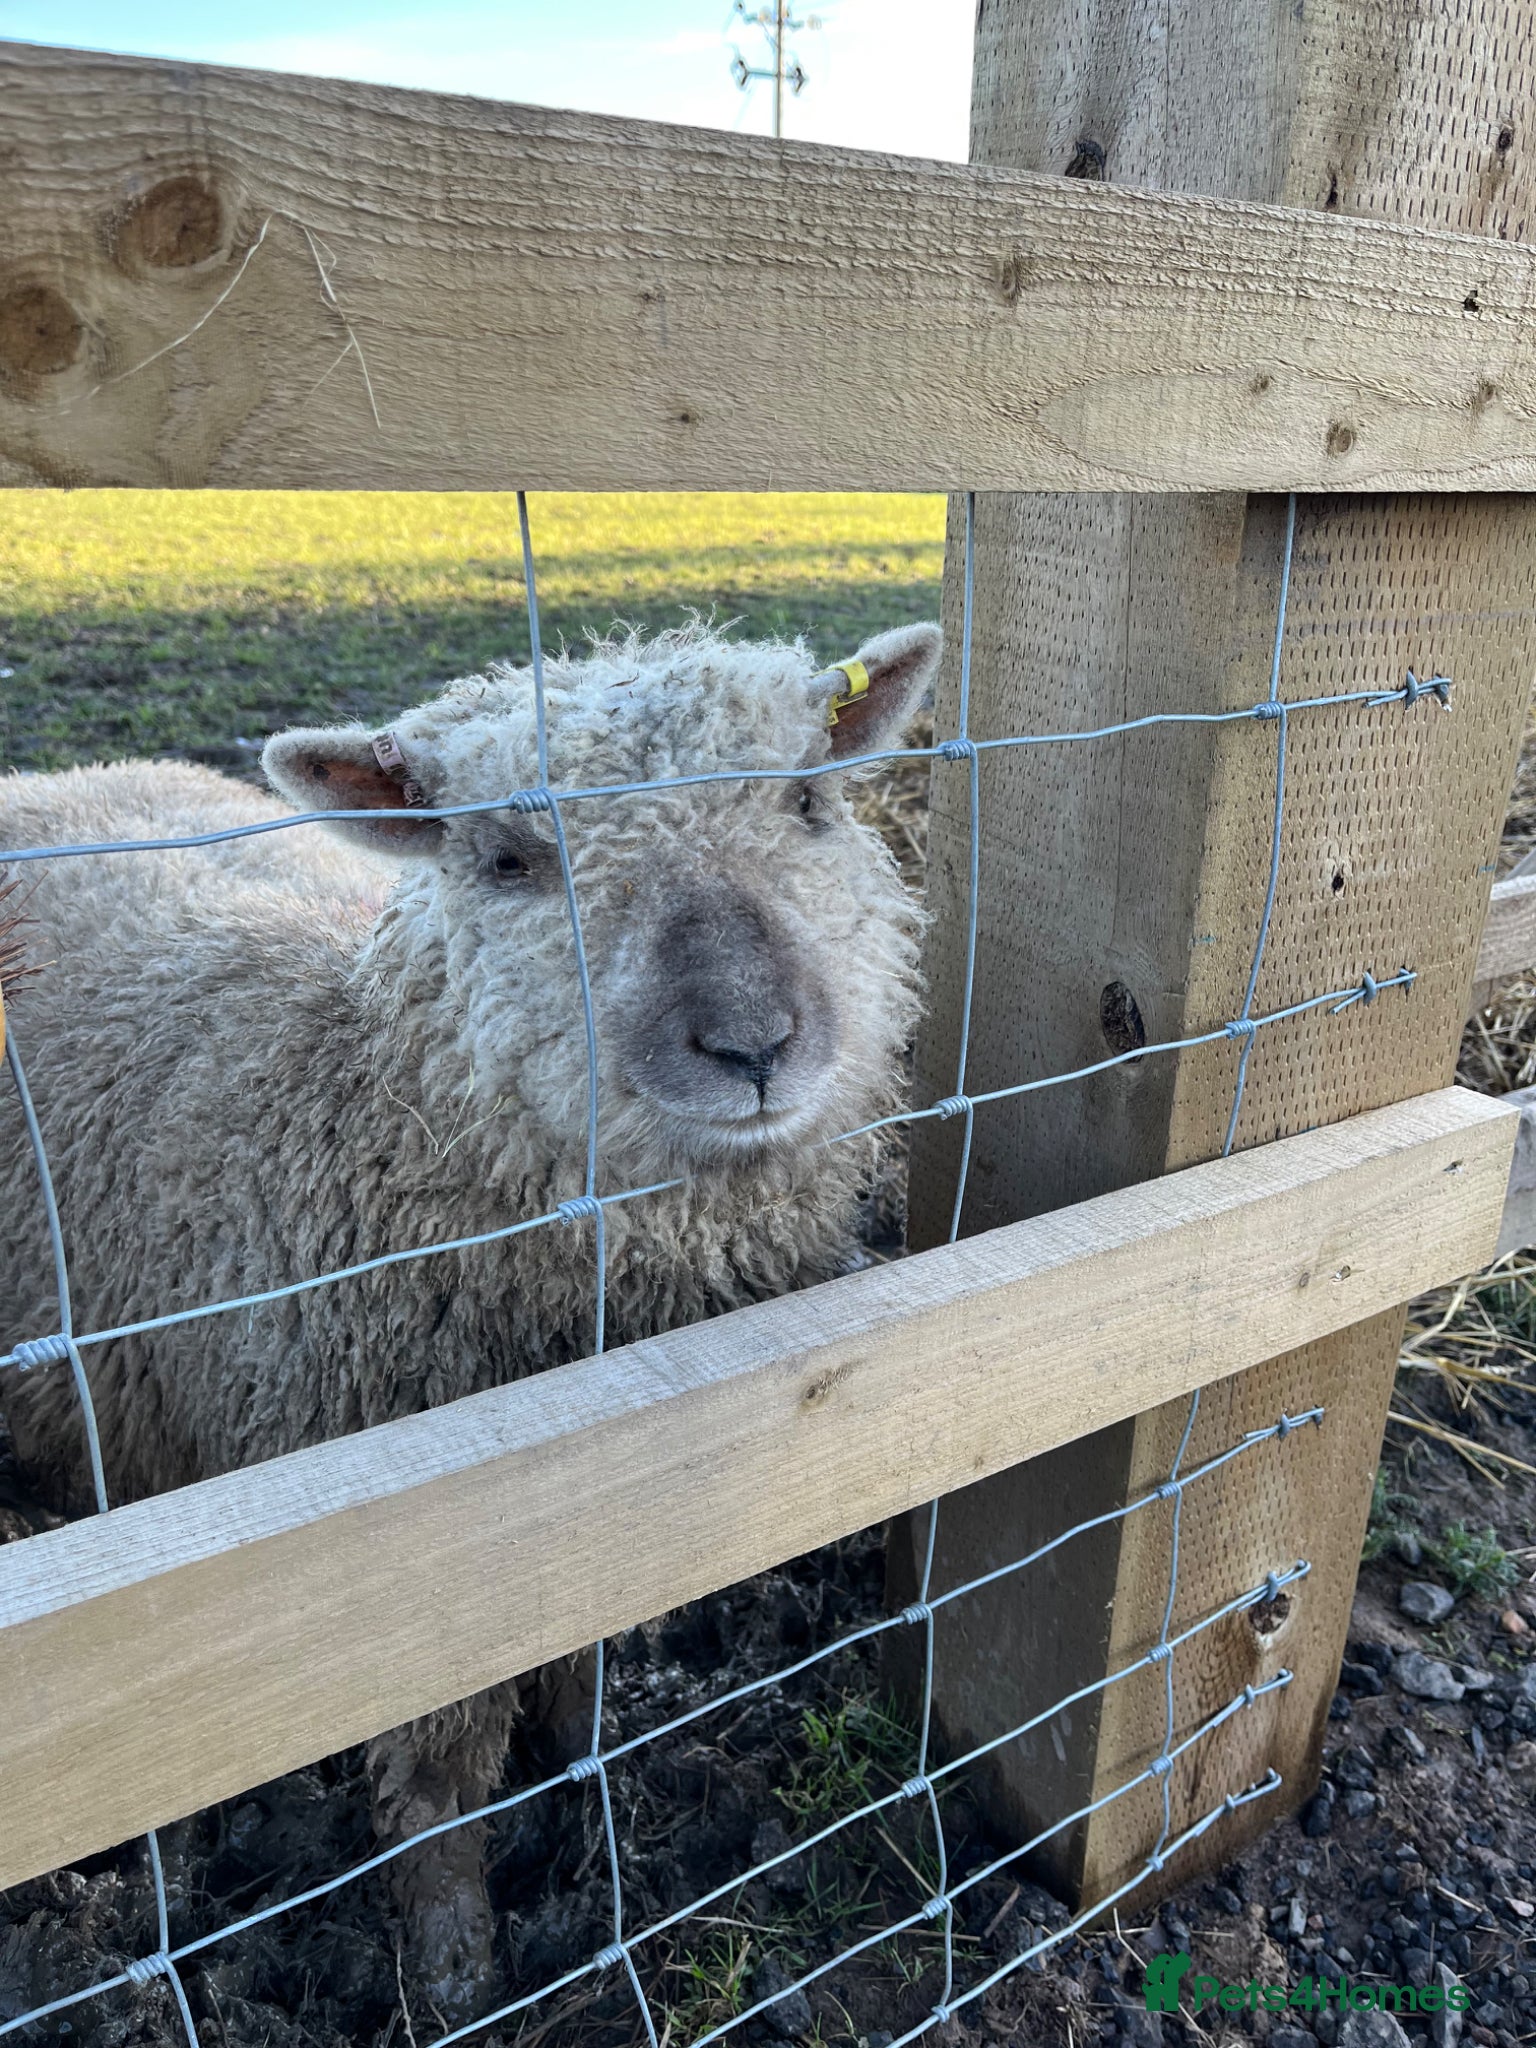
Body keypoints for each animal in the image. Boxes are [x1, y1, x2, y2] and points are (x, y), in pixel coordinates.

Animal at [0, 617, 941, 2021]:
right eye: (504, 858)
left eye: (809, 802)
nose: (752, 1042)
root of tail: (62, 777)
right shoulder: (409, 1560)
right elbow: (439, 1780)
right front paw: (455, 1969)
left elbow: (583, 1671)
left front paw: (585, 1799)